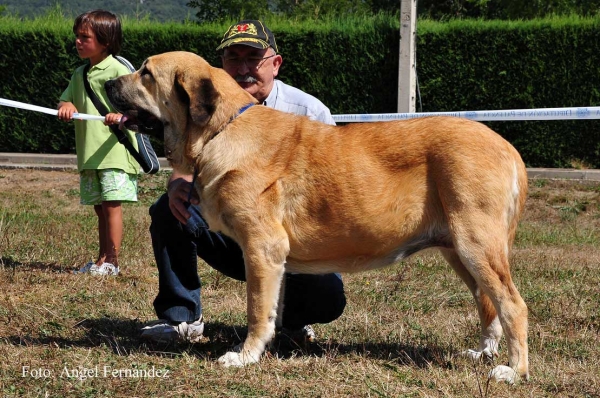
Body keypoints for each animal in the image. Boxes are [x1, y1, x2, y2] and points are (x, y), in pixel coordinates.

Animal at [105, 51, 528, 380]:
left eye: (146, 73)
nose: (108, 83)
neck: (222, 130)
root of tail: (508, 148)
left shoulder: (261, 247)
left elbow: (256, 309)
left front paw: (244, 356)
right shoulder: (274, 260)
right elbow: (272, 307)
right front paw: (270, 346)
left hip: (475, 245)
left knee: (512, 304)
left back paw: (513, 370)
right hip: (459, 250)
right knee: (487, 302)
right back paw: (484, 352)